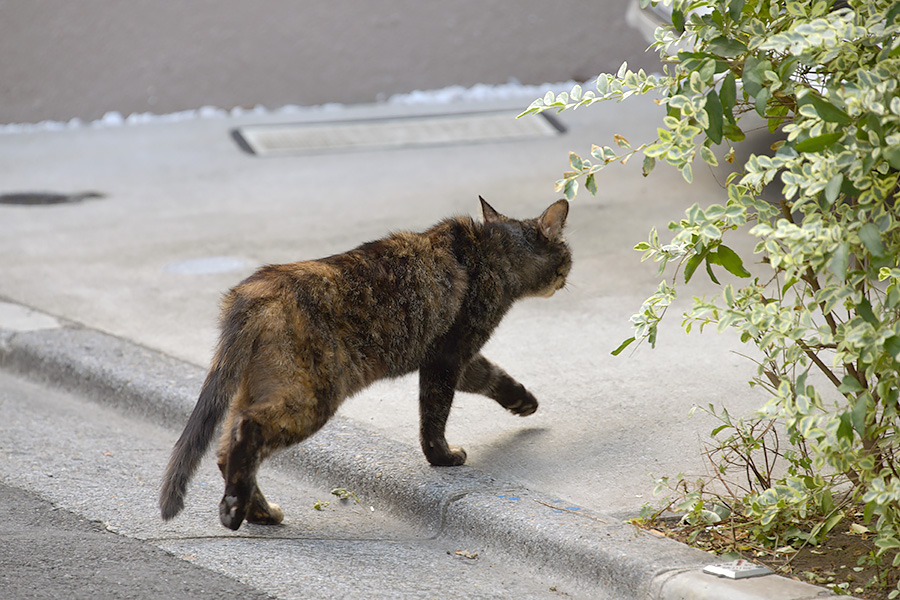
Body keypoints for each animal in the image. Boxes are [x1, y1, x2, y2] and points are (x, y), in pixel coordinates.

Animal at [161, 198, 568, 528]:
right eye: (566, 250)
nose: (567, 274)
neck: (491, 249)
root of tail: (253, 290)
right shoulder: (447, 357)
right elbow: (434, 416)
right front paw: (443, 456)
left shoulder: (458, 358)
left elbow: (492, 376)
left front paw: (523, 401)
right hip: (312, 397)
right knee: (248, 431)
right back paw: (234, 510)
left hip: (258, 390)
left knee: (225, 449)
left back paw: (259, 512)